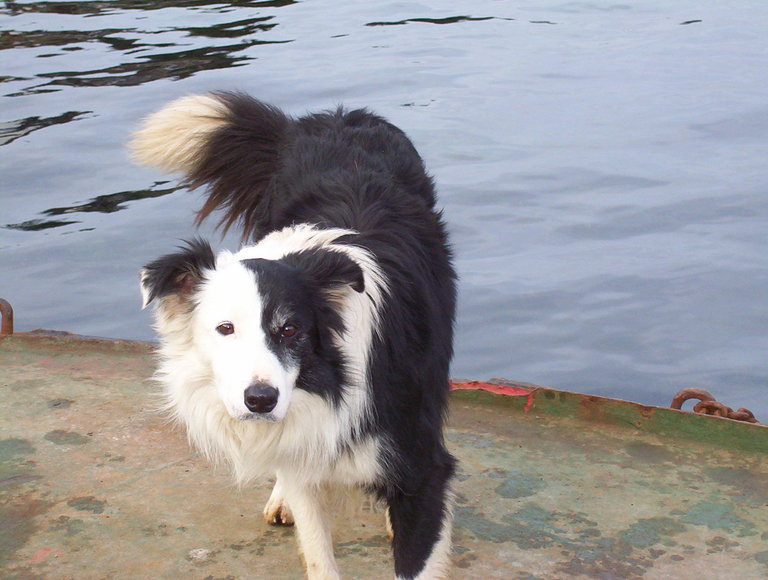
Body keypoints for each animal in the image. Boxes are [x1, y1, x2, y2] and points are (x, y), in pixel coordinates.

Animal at [132, 93, 456, 576]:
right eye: (225, 329)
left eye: (290, 330)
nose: (261, 401)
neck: (331, 384)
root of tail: (337, 116)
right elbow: (318, 552)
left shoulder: (422, 466)